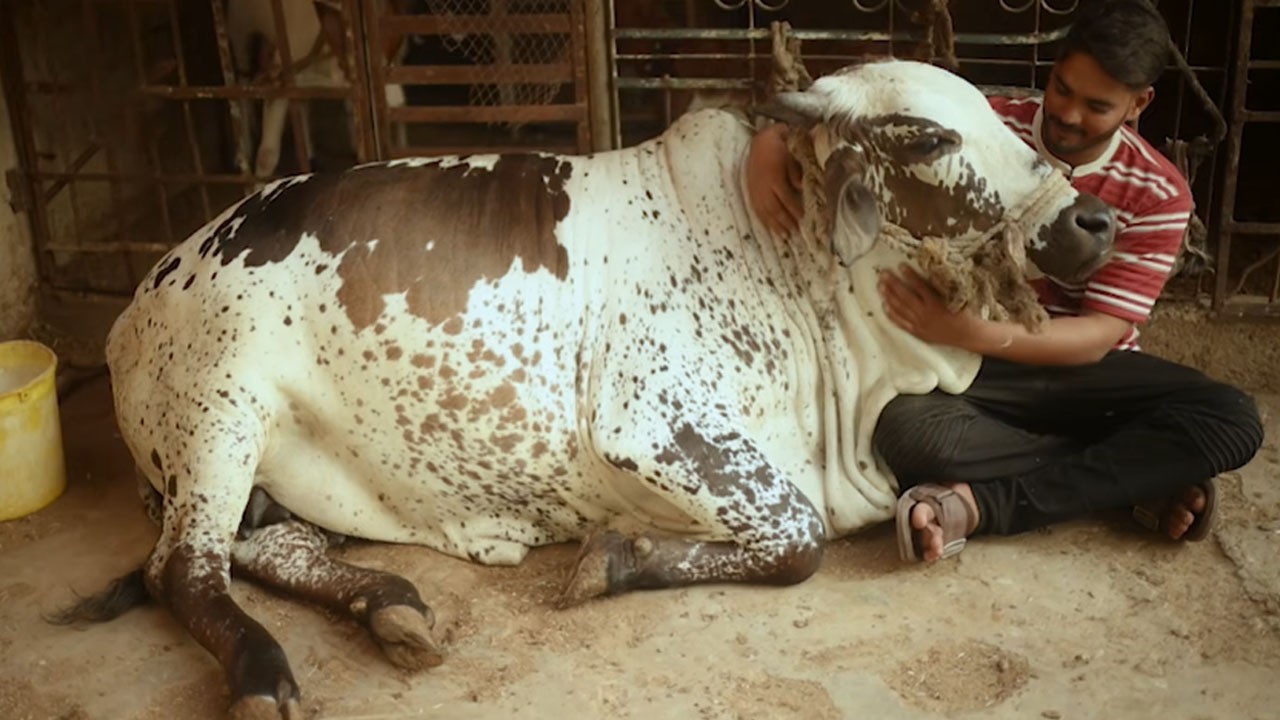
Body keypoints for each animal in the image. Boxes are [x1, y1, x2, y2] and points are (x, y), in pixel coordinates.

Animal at [59, 60, 1113, 719]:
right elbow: (799, 540)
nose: (1088, 220)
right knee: (183, 572)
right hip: (220, 410)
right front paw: (615, 557)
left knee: (271, 550)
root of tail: (137, 298)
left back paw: (392, 605)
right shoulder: (646, 423)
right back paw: (264, 674)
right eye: (928, 136)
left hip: (262, 474)